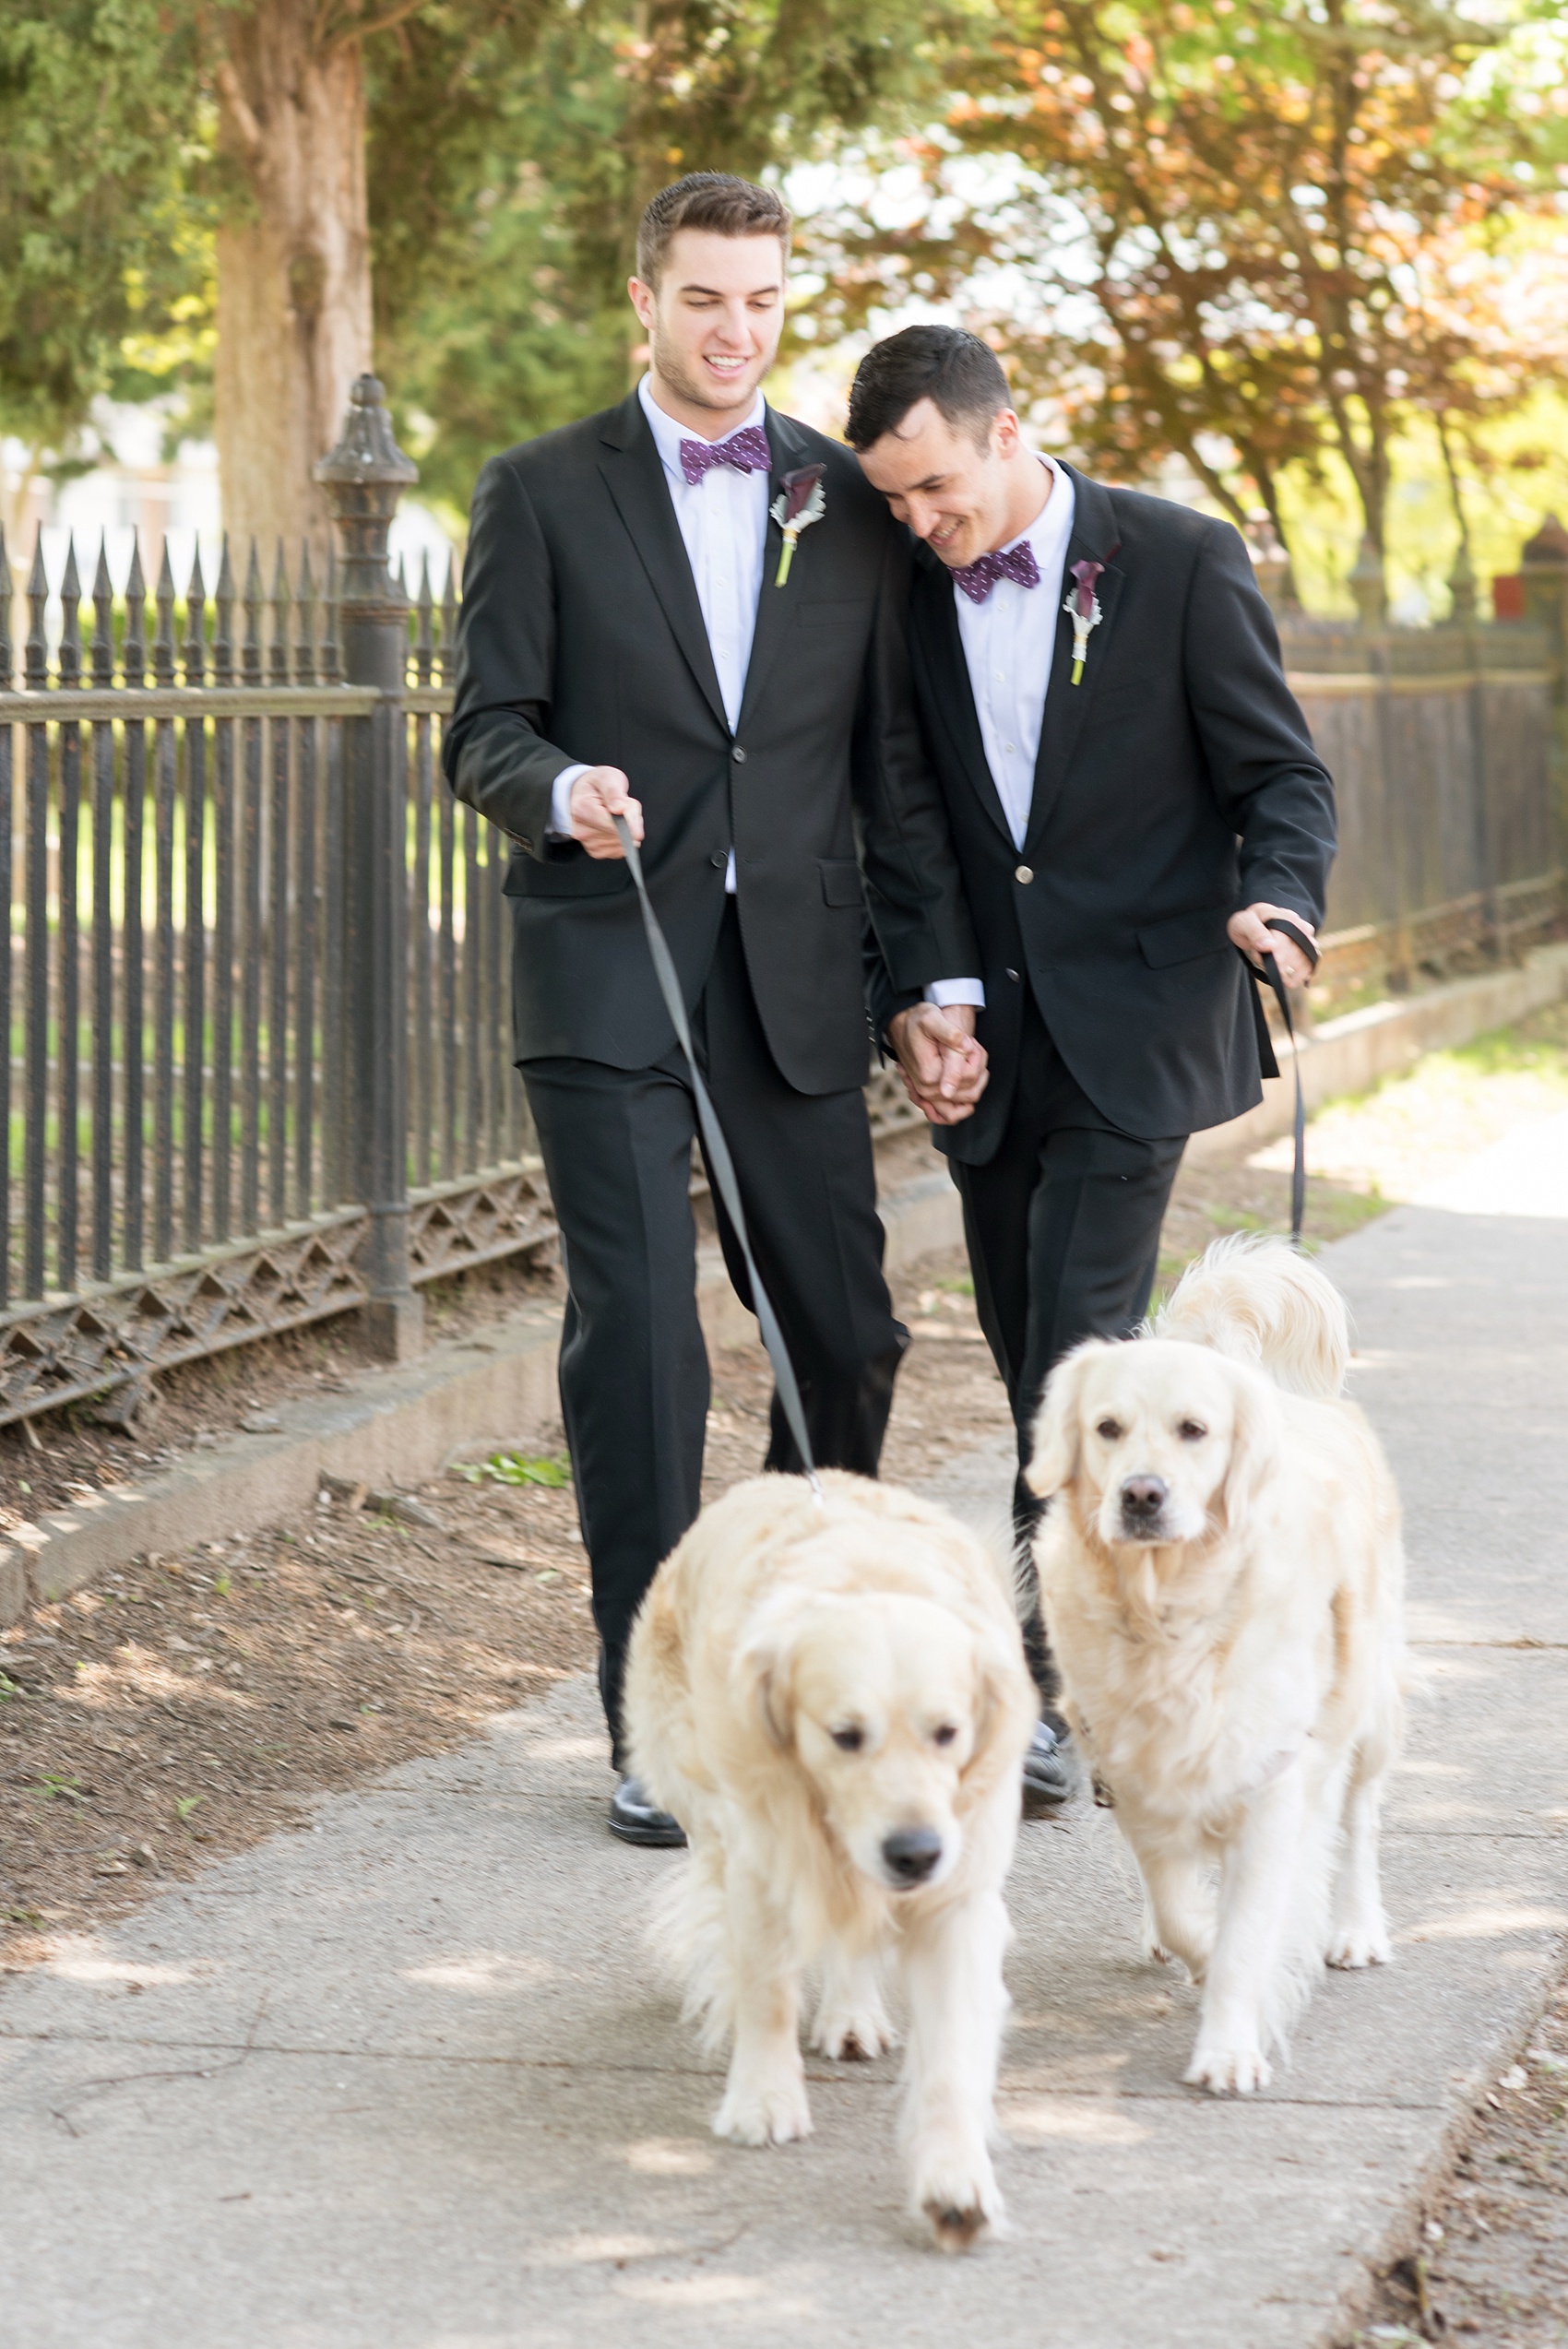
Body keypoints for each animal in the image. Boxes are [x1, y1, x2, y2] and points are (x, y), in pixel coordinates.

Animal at [624, 1465, 1043, 2255]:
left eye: (949, 1731)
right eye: (845, 1735)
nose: (914, 1852)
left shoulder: (959, 1894)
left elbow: (952, 2052)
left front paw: (955, 2180)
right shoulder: (761, 1860)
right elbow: (766, 1987)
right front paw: (763, 2098)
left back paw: (852, 2015)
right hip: (697, 1791)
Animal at [1029, 1240, 1410, 2105]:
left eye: (1194, 1430)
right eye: (1107, 1428)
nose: (1142, 1494)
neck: (1168, 1613)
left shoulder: (1272, 1785)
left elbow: (1249, 1932)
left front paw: (1230, 2045)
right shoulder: (1136, 1778)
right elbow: (1182, 1908)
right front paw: (1194, 1944)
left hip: (1368, 1704)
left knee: (1360, 1817)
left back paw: (1355, 1926)